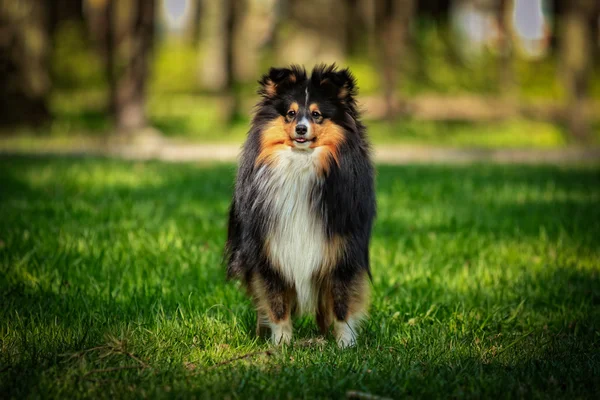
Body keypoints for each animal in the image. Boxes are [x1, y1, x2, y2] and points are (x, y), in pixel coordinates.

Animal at [225, 63, 376, 346]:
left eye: (317, 115)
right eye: (291, 114)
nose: (301, 129)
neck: (301, 164)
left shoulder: (342, 250)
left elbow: (342, 302)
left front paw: (346, 344)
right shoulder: (269, 251)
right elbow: (276, 304)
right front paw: (280, 343)